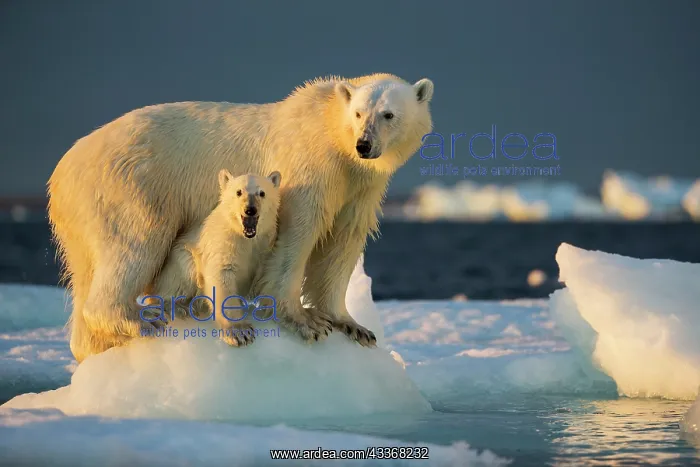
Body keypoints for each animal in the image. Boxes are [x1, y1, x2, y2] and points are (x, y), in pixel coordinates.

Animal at [140, 169, 283, 347]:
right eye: (238, 192)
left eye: (262, 193)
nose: (250, 209)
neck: (245, 238)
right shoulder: (222, 245)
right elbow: (221, 278)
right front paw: (240, 332)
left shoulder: (263, 247)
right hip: (183, 258)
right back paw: (180, 307)